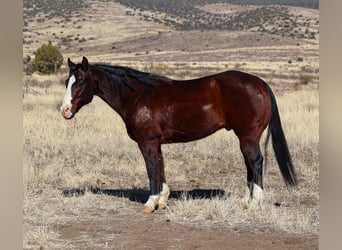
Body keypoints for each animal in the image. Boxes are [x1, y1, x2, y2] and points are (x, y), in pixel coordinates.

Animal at [60, 57, 296, 213]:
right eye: (66, 82)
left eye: (80, 82)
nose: (64, 111)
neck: (138, 96)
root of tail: (261, 83)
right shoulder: (157, 143)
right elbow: (160, 167)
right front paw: (163, 200)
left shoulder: (147, 142)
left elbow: (151, 169)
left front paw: (150, 203)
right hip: (245, 138)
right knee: (249, 165)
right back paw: (246, 201)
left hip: (248, 137)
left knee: (255, 162)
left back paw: (255, 203)